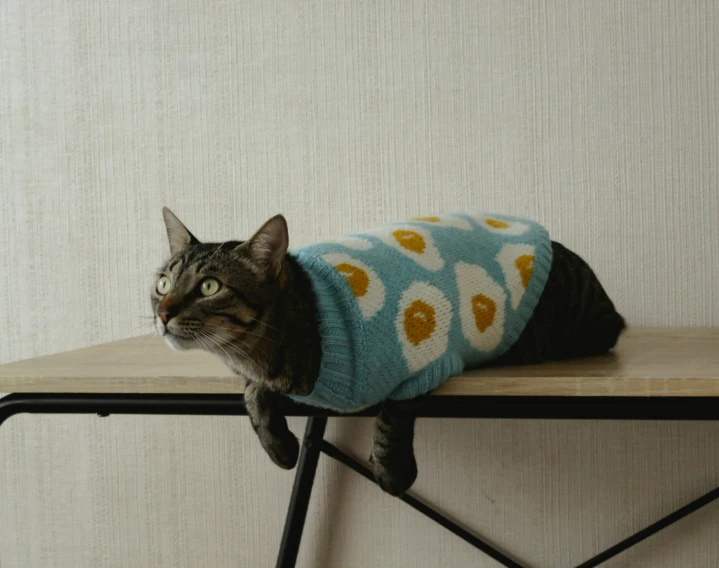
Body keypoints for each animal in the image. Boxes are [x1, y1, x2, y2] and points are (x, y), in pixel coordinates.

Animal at [150, 210, 624, 496]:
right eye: (162, 282)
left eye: (209, 286)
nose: (162, 312)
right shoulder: (260, 378)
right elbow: (252, 394)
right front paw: (279, 446)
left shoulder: (426, 361)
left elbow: (392, 417)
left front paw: (393, 471)